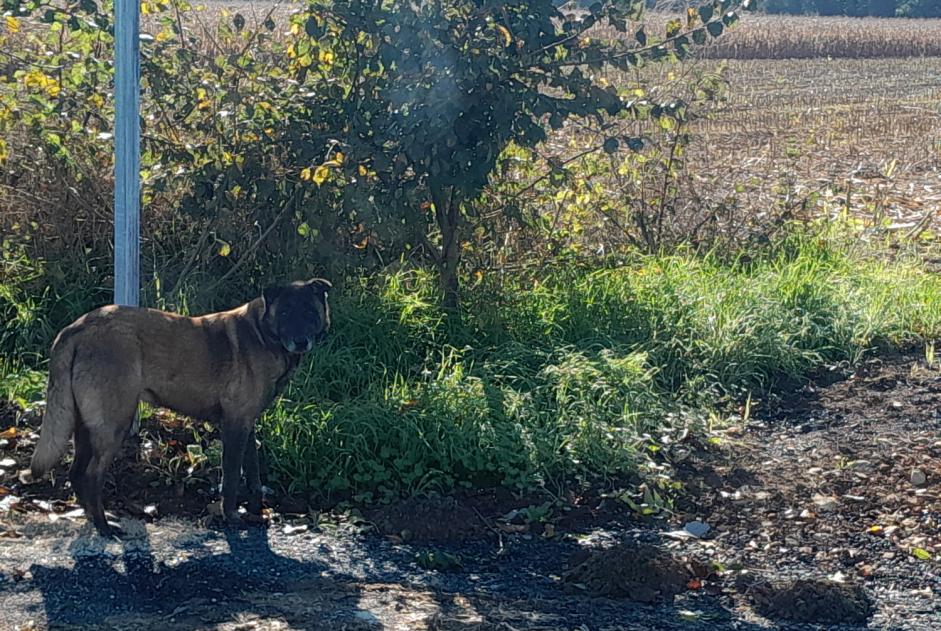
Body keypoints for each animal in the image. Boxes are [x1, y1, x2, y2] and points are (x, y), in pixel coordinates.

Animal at [26, 278, 330, 536]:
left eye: (308, 312)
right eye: (285, 313)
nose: (300, 341)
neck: (262, 333)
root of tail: (78, 327)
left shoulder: (247, 424)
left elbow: (252, 470)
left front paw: (257, 505)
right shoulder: (234, 425)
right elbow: (232, 478)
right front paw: (231, 516)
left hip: (85, 426)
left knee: (76, 473)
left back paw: (94, 518)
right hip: (115, 424)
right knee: (91, 476)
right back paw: (104, 526)